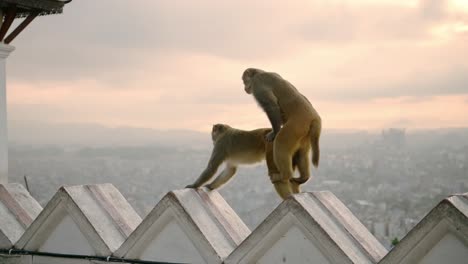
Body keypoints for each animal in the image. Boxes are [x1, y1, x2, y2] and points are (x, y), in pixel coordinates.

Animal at [241, 67, 322, 199]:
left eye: (244, 81)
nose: (244, 87)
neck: (260, 72)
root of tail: (314, 118)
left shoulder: (258, 84)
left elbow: (272, 106)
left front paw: (274, 132)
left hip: (295, 127)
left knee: (280, 143)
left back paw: (284, 175)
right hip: (305, 133)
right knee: (302, 152)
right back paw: (303, 177)